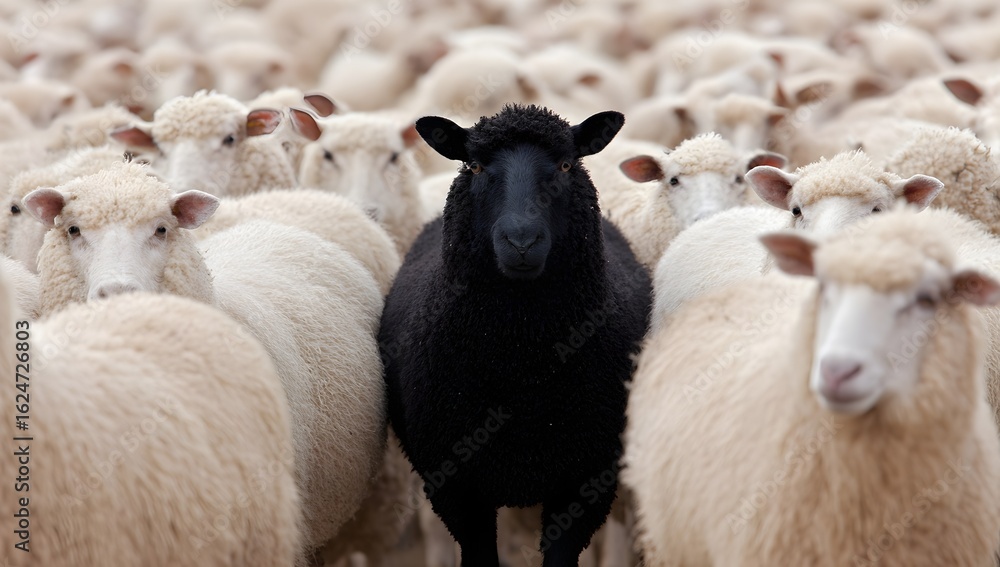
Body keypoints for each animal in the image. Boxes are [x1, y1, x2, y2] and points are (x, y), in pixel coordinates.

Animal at [380, 105, 651, 564]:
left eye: (565, 165)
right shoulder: (455, 485)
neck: (519, 360)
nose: (521, 241)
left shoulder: (585, 482)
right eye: (474, 166)